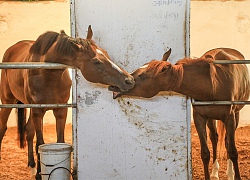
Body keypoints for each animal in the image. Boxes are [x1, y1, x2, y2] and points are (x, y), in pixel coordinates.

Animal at [0, 25, 135, 179]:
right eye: (96, 62)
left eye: (106, 53)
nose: (129, 80)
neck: (48, 74)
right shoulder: (38, 111)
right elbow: (40, 143)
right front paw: (41, 174)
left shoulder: (61, 110)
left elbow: (59, 140)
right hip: (7, 102)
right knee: (3, 128)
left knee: (28, 130)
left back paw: (33, 168)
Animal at [109, 47, 250, 180]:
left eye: (142, 75)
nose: (114, 85)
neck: (213, 85)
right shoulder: (199, 118)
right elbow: (205, 153)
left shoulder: (230, 118)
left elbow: (232, 151)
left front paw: (236, 176)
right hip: (211, 118)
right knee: (215, 139)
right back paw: (215, 172)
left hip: (235, 116)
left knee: (226, 141)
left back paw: (230, 173)